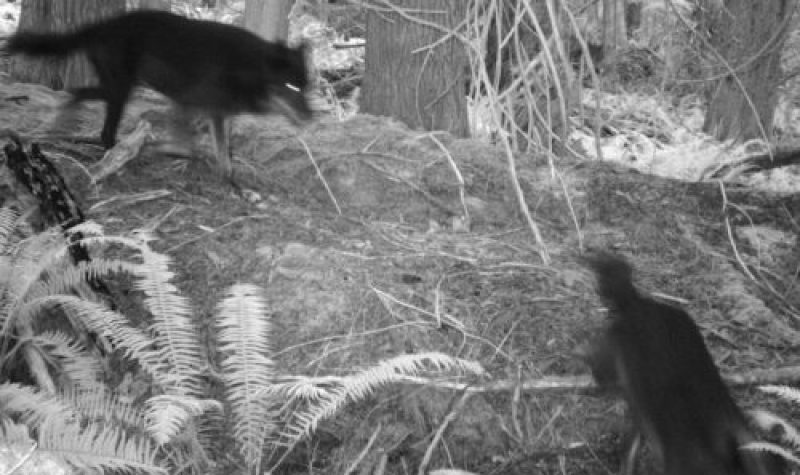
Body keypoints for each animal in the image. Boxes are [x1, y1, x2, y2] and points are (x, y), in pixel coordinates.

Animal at [6, 11, 312, 182]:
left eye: (306, 87)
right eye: (291, 87)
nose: (311, 116)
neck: (246, 67)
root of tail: (103, 25)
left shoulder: (215, 114)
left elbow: (222, 151)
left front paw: (229, 178)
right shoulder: (187, 104)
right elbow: (189, 146)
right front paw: (169, 152)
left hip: (118, 89)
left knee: (76, 94)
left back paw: (67, 124)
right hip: (121, 91)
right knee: (102, 128)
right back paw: (120, 157)